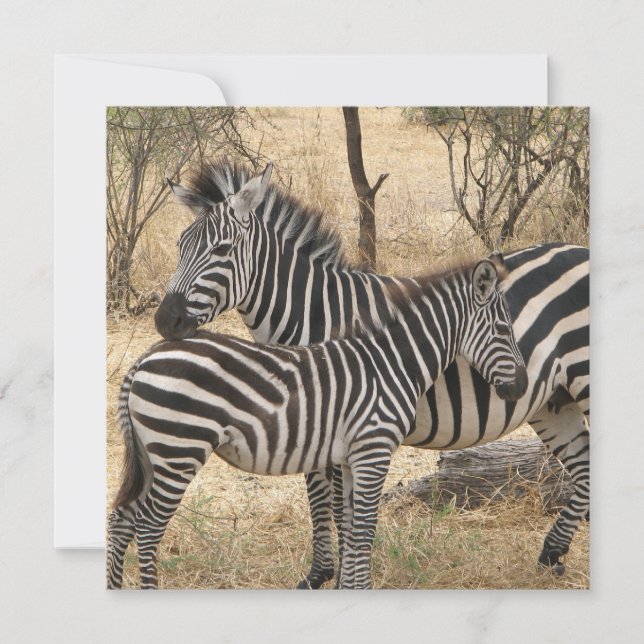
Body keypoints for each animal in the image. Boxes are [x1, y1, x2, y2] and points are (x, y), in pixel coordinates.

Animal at [108, 256, 527, 589]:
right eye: (504, 330)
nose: (522, 386)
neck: (392, 361)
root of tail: (143, 360)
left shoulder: (352, 456)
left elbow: (352, 528)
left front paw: (351, 589)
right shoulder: (374, 449)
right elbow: (363, 530)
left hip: (153, 454)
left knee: (122, 519)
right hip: (179, 449)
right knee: (148, 527)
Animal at [153, 160, 589, 587]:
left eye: (221, 249)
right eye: (179, 246)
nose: (165, 321)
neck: (315, 313)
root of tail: (578, 249)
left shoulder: (333, 419)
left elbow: (330, 502)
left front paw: (332, 577)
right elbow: (320, 497)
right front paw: (323, 574)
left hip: (583, 380)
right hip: (553, 401)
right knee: (584, 468)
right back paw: (552, 554)